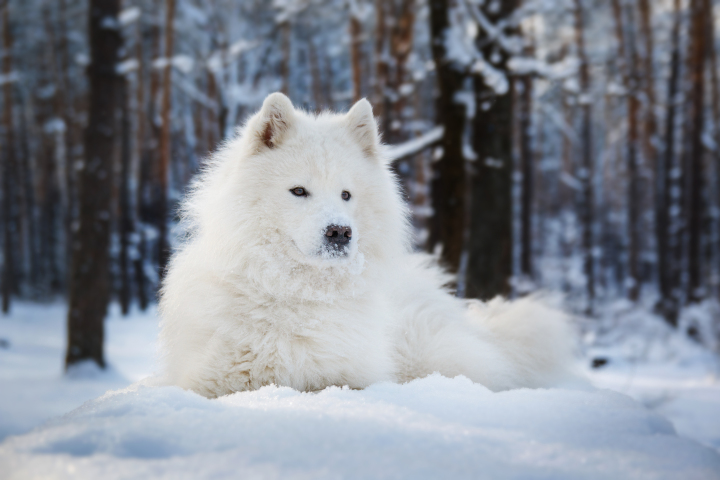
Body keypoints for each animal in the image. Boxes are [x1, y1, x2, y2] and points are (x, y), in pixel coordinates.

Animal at [160, 93, 576, 398]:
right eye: (299, 191)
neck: (304, 296)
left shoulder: (353, 376)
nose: (339, 232)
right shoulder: (212, 380)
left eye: (346, 195)